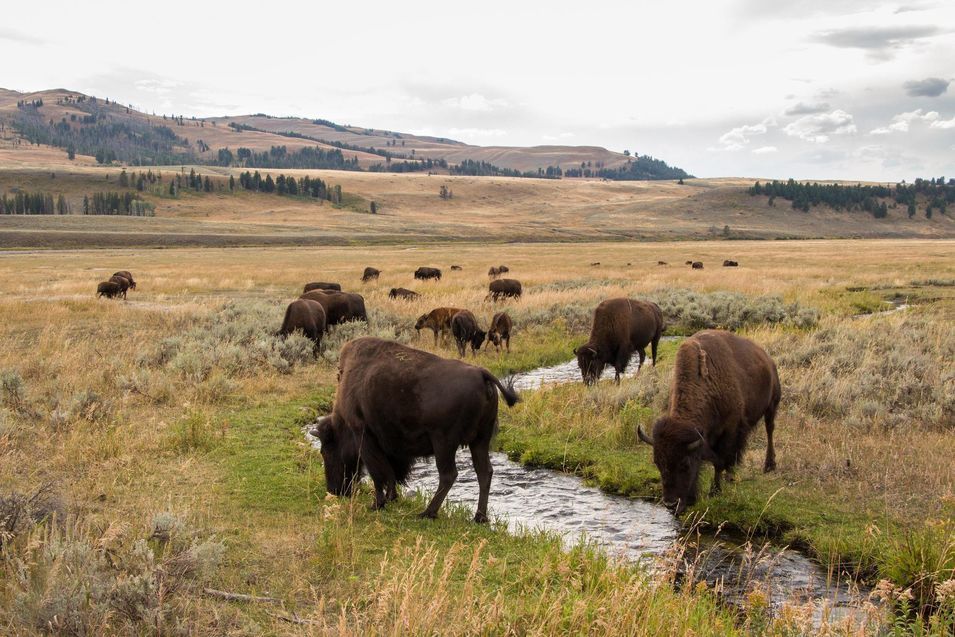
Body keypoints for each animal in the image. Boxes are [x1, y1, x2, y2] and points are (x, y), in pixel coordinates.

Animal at [310, 336, 520, 520]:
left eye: (325, 451)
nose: (334, 490)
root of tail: (481, 374)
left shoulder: (364, 436)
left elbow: (378, 473)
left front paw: (377, 504)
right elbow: (390, 473)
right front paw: (391, 498)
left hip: (444, 443)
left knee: (448, 475)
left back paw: (427, 513)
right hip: (480, 440)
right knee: (484, 472)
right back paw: (479, 517)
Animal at [640, 330, 780, 516]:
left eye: (685, 464)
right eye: (657, 463)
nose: (671, 504)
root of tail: (767, 359)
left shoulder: (729, 430)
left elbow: (720, 461)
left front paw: (715, 491)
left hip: (772, 404)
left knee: (769, 430)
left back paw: (768, 466)